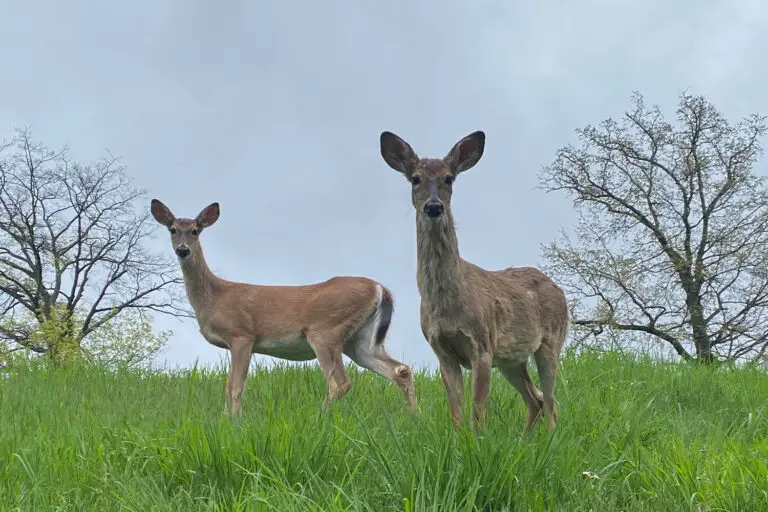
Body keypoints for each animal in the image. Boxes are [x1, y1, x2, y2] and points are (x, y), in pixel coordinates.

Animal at [150, 199, 417, 415]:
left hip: (326, 331)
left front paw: (235, 421)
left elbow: (235, 387)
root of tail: (380, 288)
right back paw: (414, 417)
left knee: (340, 382)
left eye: (195, 231)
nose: (182, 250)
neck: (214, 296)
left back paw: (319, 417)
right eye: (173, 230)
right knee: (400, 370)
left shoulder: (242, 335)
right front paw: (226, 420)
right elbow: (227, 387)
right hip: (359, 340)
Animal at [378, 130, 569, 436]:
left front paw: (478, 440)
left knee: (551, 401)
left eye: (449, 178)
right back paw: (525, 441)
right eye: (415, 178)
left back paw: (549, 439)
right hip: (512, 359)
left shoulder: (482, 344)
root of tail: (558, 288)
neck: (447, 305)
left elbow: (478, 410)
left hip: (551, 341)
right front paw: (459, 441)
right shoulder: (441, 349)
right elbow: (456, 410)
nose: (434, 206)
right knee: (536, 399)